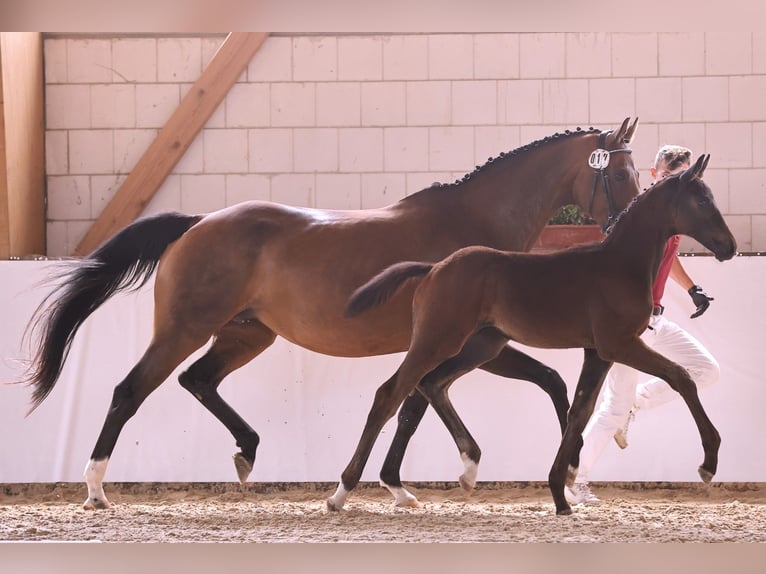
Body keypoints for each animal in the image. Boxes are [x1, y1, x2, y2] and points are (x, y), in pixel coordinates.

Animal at [20, 118, 641, 510]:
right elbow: (424, 400)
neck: (476, 229)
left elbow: (446, 396)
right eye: (620, 175)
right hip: (183, 329)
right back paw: (95, 488)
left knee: (197, 380)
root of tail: (197, 223)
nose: (626, 227)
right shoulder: (469, 344)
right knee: (130, 390)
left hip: (246, 336)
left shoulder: (468, 345)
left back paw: (247, 452)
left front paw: (409, 483)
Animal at [330, 154, 736, 515]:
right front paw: (709, 462)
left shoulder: (597, 352)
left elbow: (580, 411)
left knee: (432, 385)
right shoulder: (619, 344)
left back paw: (469, 467)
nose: (729, 246)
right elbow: (681, 377)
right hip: (437, 341)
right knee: (390, 394)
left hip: (481, 346)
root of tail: (433, 268)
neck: (619, 263)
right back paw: (342, 492)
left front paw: (561, 492)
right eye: (702, 199)